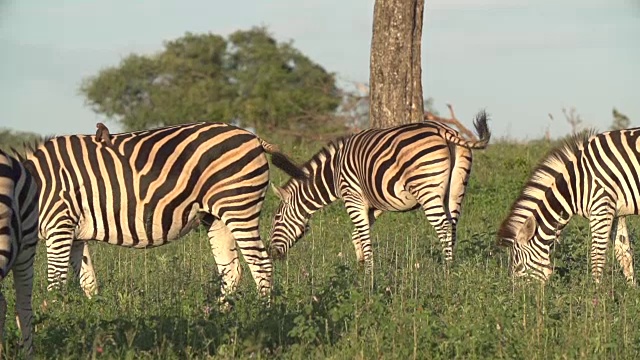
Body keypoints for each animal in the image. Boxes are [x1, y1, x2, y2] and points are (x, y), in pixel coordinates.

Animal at [13, 122, 304, 302]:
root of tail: (254, 137)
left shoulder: (60, 228)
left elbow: (55, 284)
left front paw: (56, 319)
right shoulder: (76, 236)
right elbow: (88, 283)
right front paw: (93, 319)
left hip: (239, 208)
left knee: (261, 265)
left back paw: (262, 317)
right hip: (217, 216)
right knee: (232, 271)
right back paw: (221, 320)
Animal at [268, 111, 490, 268]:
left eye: (277, 218)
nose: (272, 254)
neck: (334, 172)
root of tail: (444, 131)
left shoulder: (353, 198)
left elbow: (363, 235)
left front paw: (369, 276)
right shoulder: (375, 205)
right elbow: (357, 236)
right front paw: (360, 270)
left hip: (427, 189)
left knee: (443, 225)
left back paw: (446, 270)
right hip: (456, 189)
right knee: (452, 225)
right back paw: (452, 266)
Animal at [498, 129, 636, 284]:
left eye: (519, 267)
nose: (513, 290)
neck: (576, 185)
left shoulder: (601, 207)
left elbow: (597, 256)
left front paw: (595, 289)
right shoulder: (617, 212)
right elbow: (624, 254)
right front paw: (631, 288)